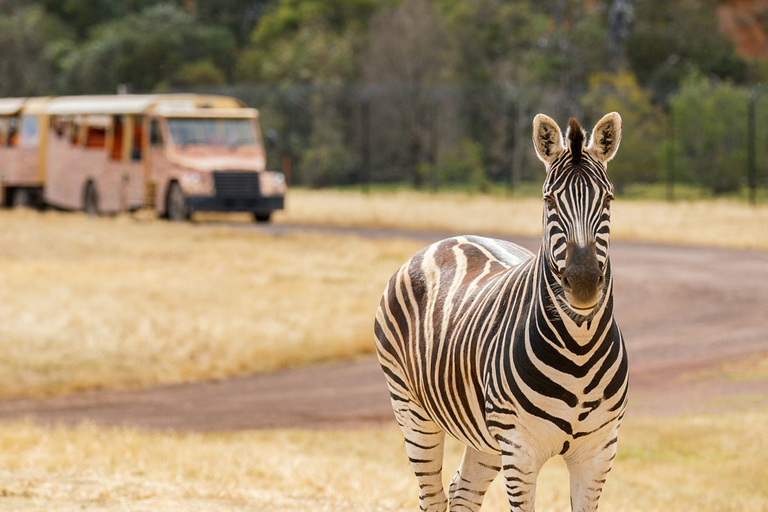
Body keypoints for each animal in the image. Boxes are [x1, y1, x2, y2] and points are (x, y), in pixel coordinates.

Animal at [374, 113, 632, 512]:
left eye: (608, 198)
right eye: (548, 200)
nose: (584, 282)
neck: (580, 347)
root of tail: (448, 240)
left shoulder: (598, 452)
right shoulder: (520, 449)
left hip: (484, 437)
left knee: (462, 492)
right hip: (411, 410)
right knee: (432, 496)